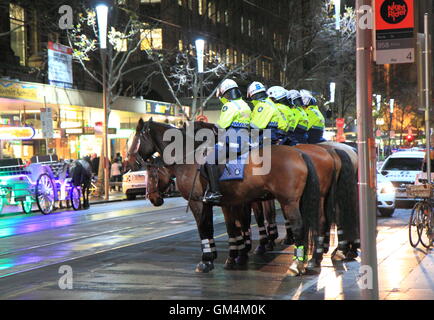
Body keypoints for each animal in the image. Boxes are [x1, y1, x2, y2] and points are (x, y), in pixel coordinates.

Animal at [125, 119, 318, 276]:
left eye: (152, 173)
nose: (130, 162)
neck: (188, 156)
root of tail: (299, 154)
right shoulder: (227, 203)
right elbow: (229, 228)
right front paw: (230, 256)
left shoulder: (199, 203)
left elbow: (205, 229)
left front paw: (207, 260)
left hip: (288, 202)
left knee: (298, 226)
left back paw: (296, 264)